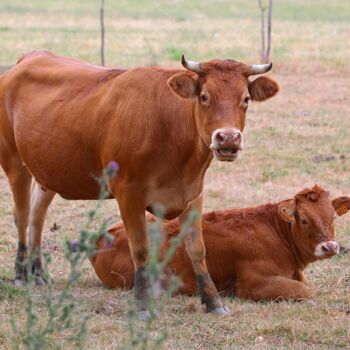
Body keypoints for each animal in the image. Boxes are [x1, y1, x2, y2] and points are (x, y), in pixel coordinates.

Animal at [91, 186, 350, 300]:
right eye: (304, 219)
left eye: (333, 217)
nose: (330, 247)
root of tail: (103, 236)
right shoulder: (253, 283)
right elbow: (304, 290)